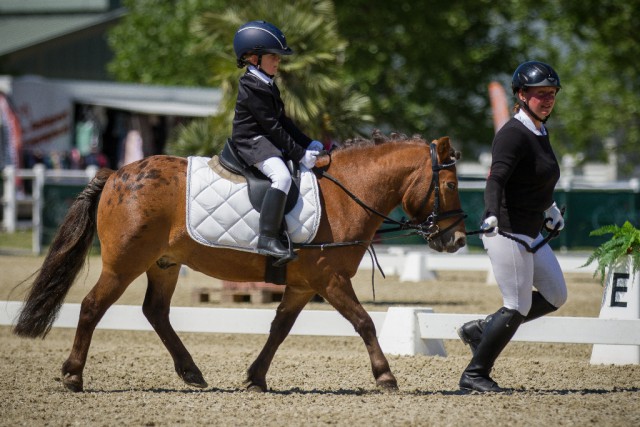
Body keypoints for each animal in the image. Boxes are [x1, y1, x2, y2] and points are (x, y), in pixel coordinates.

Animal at [13, 132, 464, 392]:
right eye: (449, 184)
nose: (457, 239)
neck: (346, 194)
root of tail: (116, 175)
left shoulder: (303, 285)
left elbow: (280, 329)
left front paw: (256, 377)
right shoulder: (330, 279)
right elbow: (364, 322)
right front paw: (386, 376)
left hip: (163, 264)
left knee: (155, 311)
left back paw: (192, 373)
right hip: (123, 265)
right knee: (92, 308)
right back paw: (73, 375)